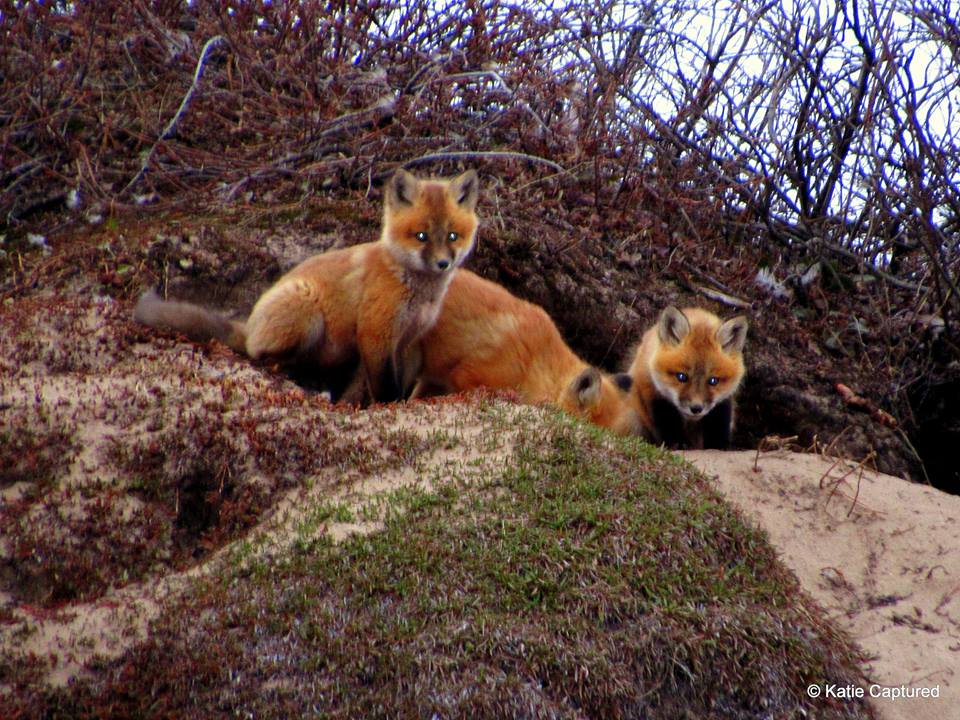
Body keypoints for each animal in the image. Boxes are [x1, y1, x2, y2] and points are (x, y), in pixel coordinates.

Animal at [134, 168, 480, 404]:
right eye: (421, 236)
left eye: (452, 236)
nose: (443, 264)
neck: (415, 290)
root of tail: (250, 325)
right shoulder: (375, 335)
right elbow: (384, 387)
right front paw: (386, 407)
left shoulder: (407, 341)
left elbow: (400, 383)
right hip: (308, 313)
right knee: (264, 358)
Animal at [626, 306, 748, 449]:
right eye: (682, 377)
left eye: (713, 381)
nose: (696, 408)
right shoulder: (653, 394)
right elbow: (666, 421)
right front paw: (676, 443)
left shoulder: (723, 402)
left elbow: (719, 425)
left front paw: (719, 445)